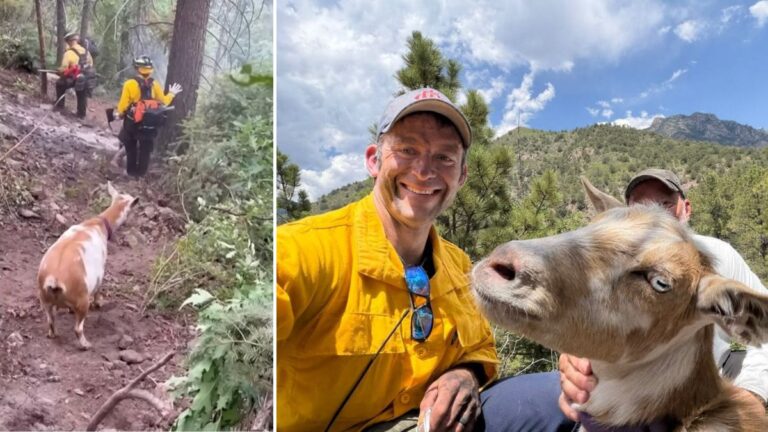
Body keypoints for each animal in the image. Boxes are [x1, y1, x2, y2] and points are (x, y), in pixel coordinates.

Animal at [37, 181, 138, 350]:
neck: (97, 224)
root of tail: (54, 279)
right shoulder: (101, 271)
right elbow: (99, 288)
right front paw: (99, 304)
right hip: (82, 300)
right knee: (78, 328)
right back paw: (86, 345)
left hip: (44, 299)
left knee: (50, 320)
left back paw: (53, 334)